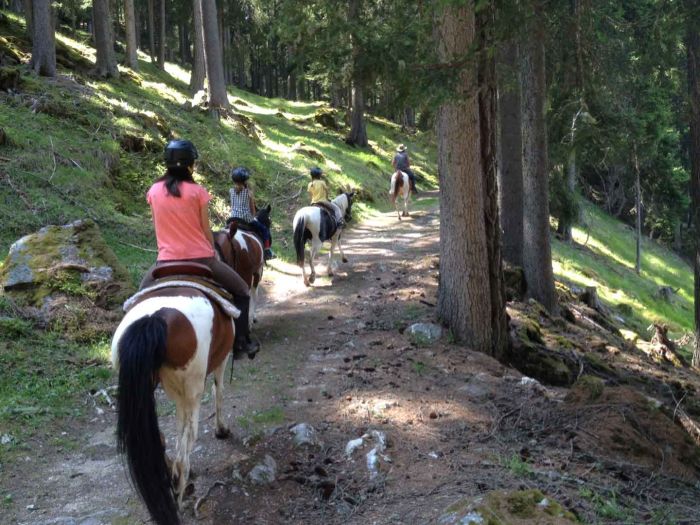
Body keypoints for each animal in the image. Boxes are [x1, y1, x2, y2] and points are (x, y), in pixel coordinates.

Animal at [110, 264, 239, 520]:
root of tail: (154, 318)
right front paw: (221, 429)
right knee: (185, 449)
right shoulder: (220, 361)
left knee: (161, 438)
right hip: (191, 388)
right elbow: (218, 391)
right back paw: (180, 491)